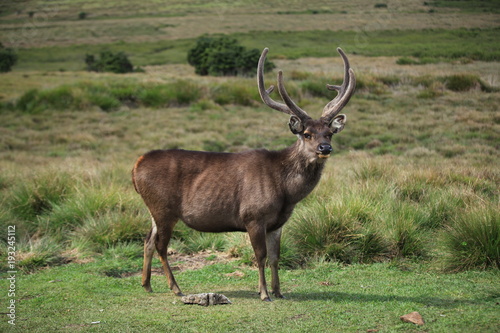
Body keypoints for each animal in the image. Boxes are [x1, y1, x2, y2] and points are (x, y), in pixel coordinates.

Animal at [133, 47, 356, 300]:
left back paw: (147, 284)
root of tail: (136, 166)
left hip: (154, 209)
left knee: (148, 241)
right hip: (164, 207)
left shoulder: (278, 223)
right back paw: (175, 288)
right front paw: (264, 293)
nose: (325, 148)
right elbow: (260, 256)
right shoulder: (253, 215)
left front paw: (279, 291)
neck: (286, 192)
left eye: (329, 133)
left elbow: (276, 257)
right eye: (307, 134)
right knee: (161, 245)